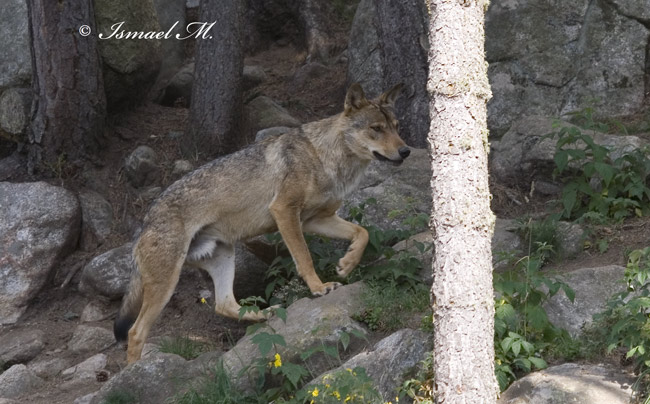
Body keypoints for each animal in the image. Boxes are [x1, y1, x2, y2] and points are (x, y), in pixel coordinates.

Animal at [114, 82, 410, 362]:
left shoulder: (315, 220)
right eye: (376, 128)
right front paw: (319, 288)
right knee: (135, 331)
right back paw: (133, 371)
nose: (406, 151)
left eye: (396, 127)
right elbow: (304, 257)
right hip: (166, 284)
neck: (325, 156)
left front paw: (347, 264)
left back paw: (267, 314)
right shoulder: (284, 211)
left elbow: (363, 233)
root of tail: (145, 220)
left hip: (224, 257)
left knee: (224, 305)